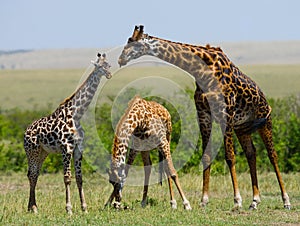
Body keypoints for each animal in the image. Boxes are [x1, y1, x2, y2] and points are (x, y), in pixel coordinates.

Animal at [23, 53, 112, 214]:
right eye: (100, 66)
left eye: (108, 65)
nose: (109, 74)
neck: (76, 115)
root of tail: (26, 132)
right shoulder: (66, 148)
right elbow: (67, 177)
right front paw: (69, 209)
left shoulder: (78, 148)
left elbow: (79, 178)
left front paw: (84, 208)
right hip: (32, 151)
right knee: (32, 174)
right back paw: (34, 208)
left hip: (43, 152)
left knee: (34, 174)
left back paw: (31, 207)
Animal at [117, 25, 290, 210]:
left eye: (132, 42)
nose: (120, 59)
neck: (201, 69)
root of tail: (266, 100)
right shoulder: (204, 114)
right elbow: (206, 156)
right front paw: (204, 200)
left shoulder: (226, 114)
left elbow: (230, 157)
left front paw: (237, 200)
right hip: (242, 128)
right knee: (251, 153)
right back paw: (255, 201)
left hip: (265, 121)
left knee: (272, 155)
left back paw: (285, 200)